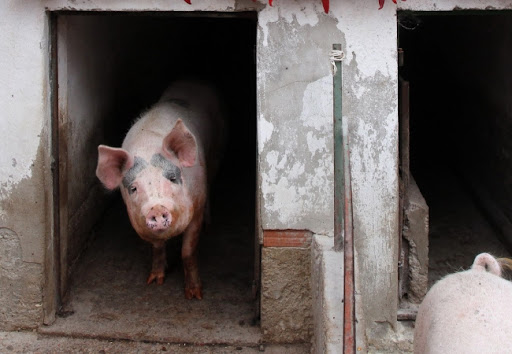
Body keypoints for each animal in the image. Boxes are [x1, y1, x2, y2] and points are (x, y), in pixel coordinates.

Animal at [96, 80, 224, 298]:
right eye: (133, 188)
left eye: (172, 178)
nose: (156, 208)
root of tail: (193, 79)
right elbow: (157, 248)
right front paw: (155, 281)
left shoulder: (196, 208)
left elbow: (188, 251)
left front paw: (195, 295)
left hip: (217, 151)